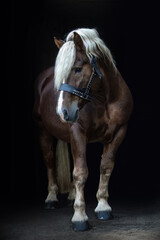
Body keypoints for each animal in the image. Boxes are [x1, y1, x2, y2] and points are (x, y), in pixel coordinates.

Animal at [33, 27, 133, 231]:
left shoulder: (118, 133)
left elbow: (105, 167)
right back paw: (51, 198)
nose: (62, 112)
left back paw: (71, 196)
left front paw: (103, 207)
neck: (105, 100)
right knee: (49, 161)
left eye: (78, 68)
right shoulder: (78, 133)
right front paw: (79, 217)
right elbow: (81, 173)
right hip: (43, 131)